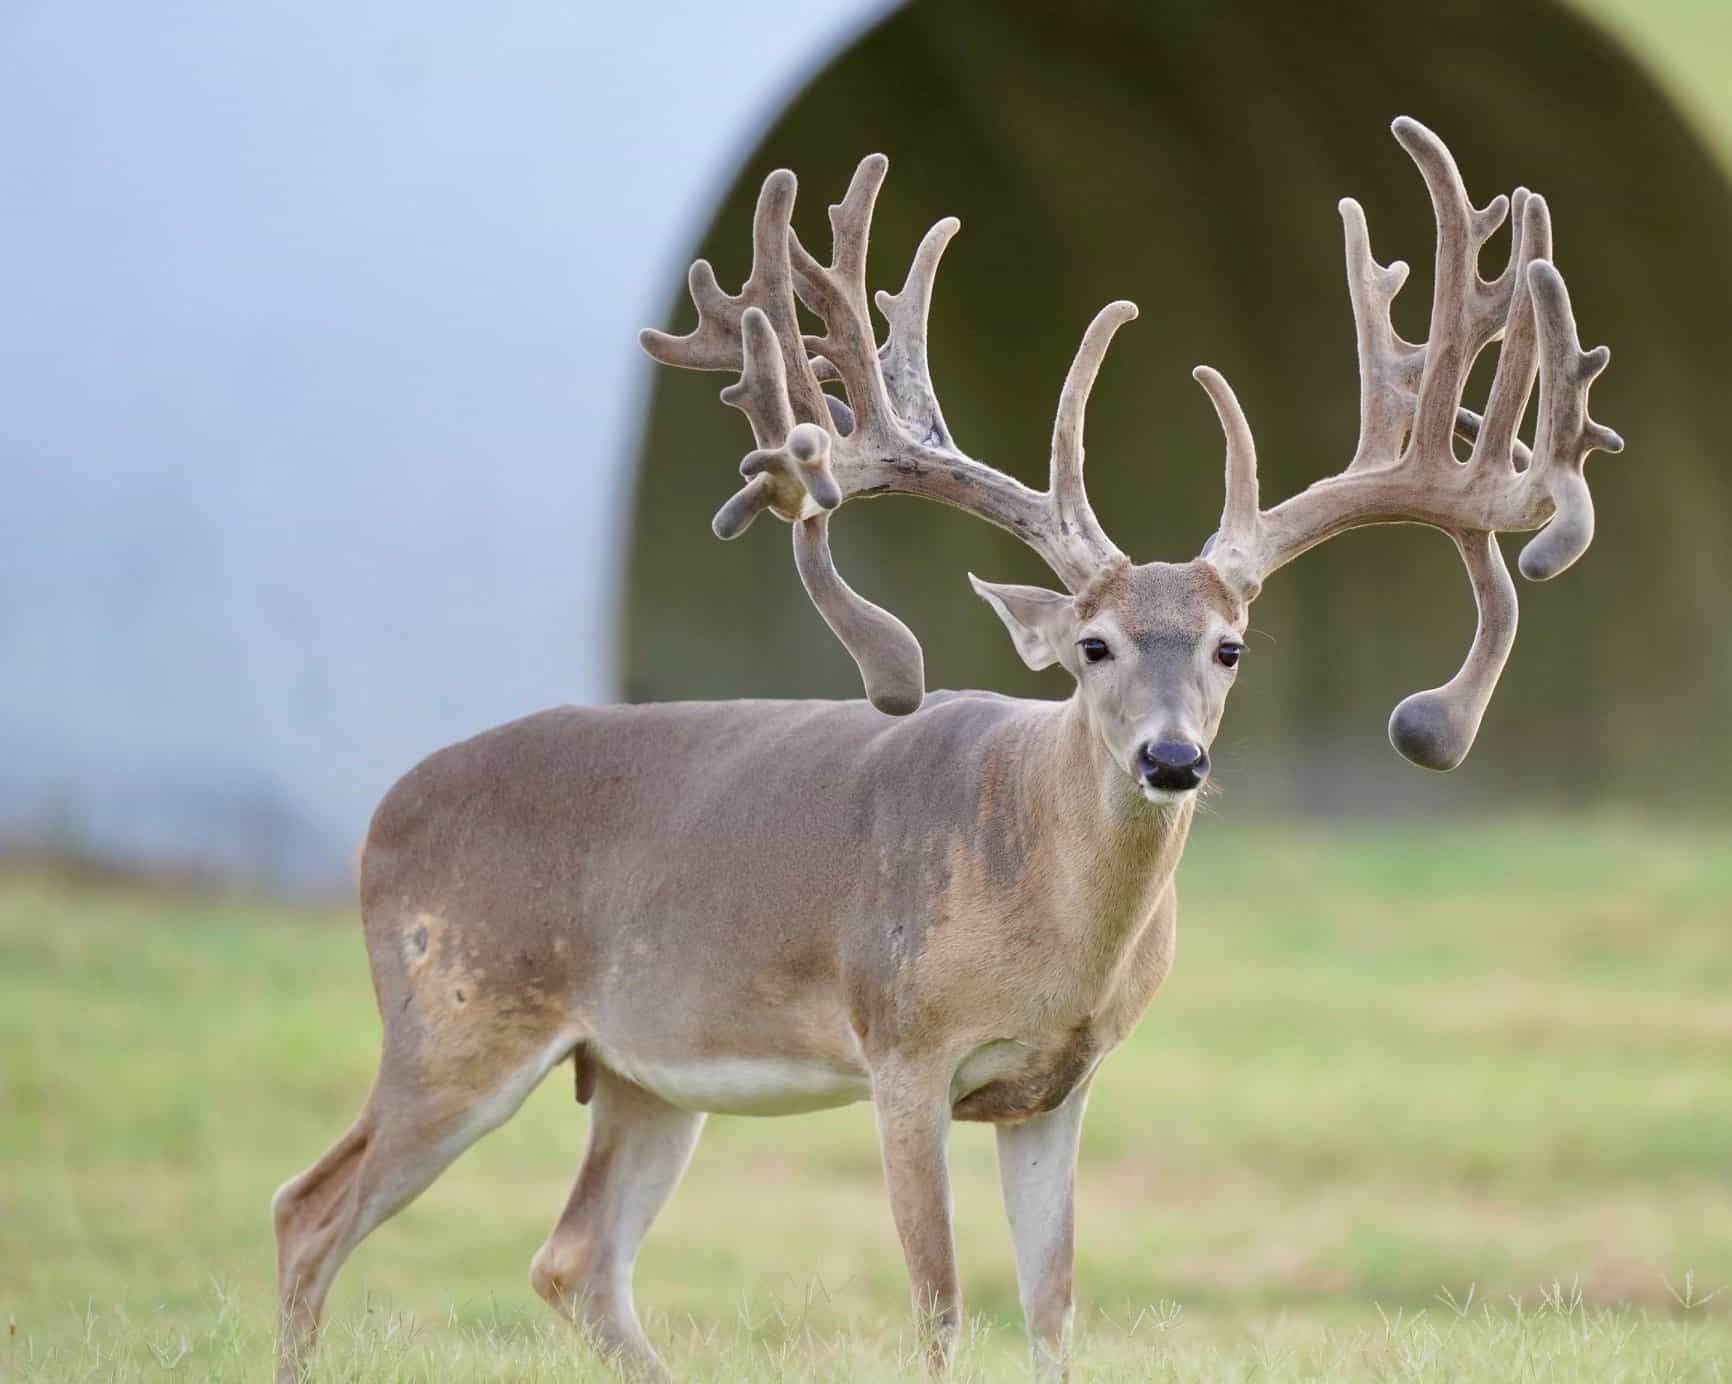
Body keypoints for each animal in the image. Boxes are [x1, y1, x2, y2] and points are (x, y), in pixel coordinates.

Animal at [272, 118, 1620, 1382]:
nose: (1172, 759)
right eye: (1090, 645)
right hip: (456, 1016)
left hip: (644, 1069)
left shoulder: (1058, 1086)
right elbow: (937, 1303)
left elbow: (1052, 1304)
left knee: (573, 1259)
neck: (1047, 919)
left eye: (1230, 647)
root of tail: (388, 806)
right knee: (310, 1206)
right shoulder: (904, 1048)